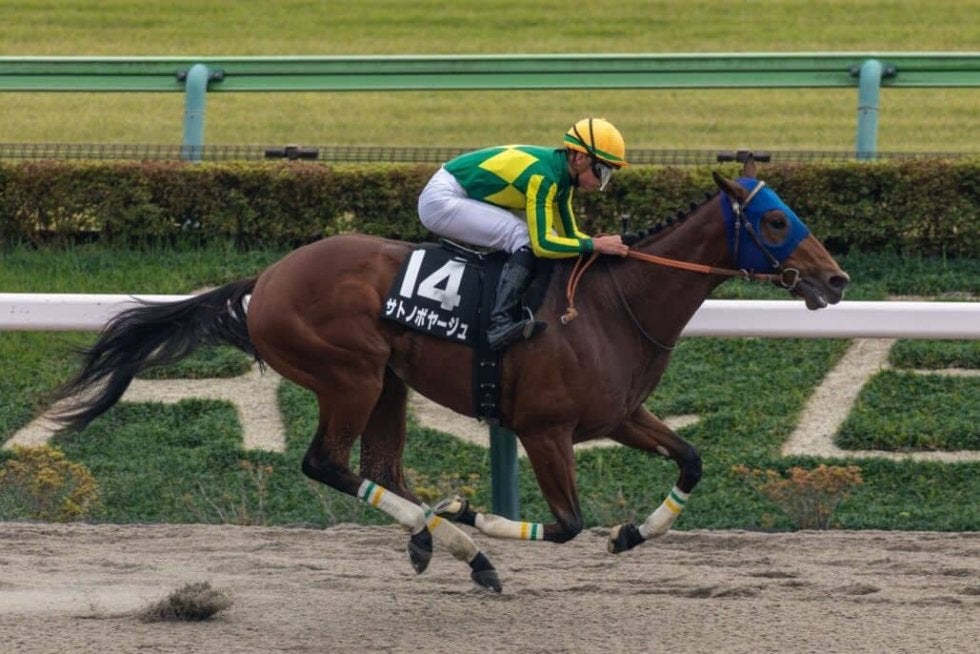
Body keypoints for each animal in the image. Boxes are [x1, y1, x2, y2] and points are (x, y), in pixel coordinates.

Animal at [49, 156, 848, 593]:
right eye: (775, 223)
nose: (834, 280)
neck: (611, 305)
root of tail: (266, 280)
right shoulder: (544, 429)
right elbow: (566, 524)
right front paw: (471, 512)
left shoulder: (617, 416)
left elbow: (691, 459)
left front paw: (630, 535)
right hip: (350, 375)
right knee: (328, 463)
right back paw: (458, 538)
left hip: (389, 382)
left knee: (381, 468)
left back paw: (442, 540)